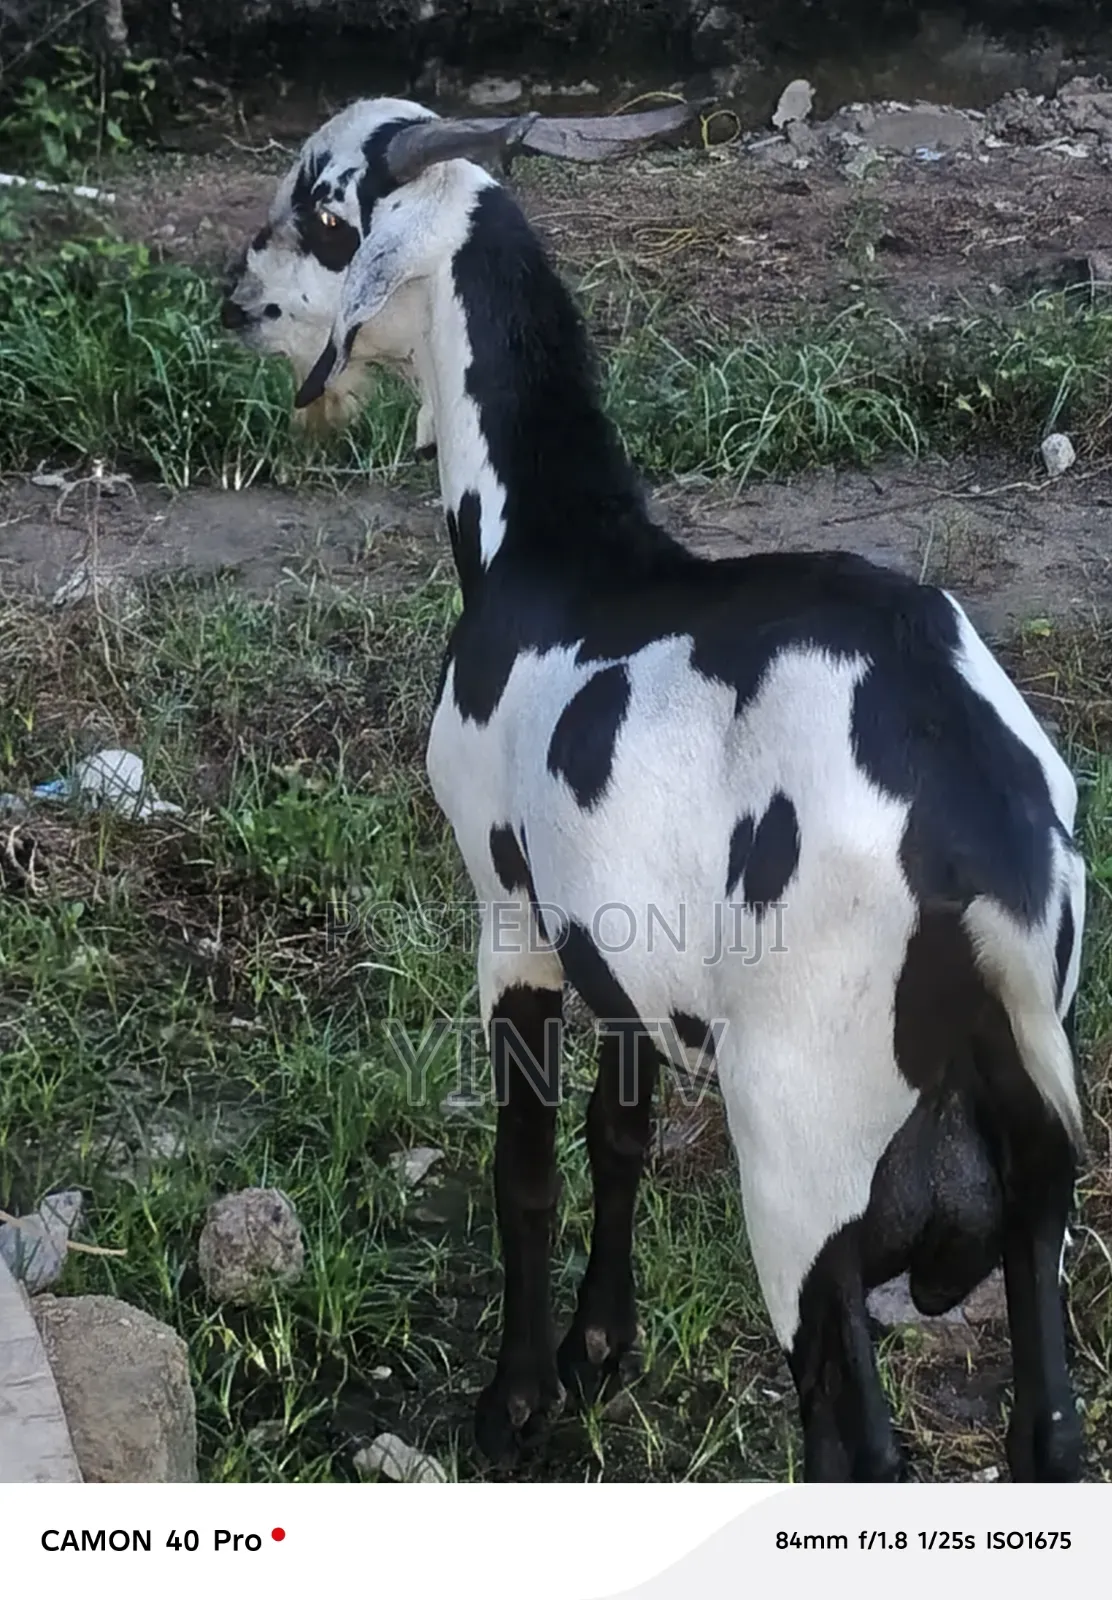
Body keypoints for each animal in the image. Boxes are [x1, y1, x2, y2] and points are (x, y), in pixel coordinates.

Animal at [223, 97, 1088, 1482]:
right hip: (1032, 1184)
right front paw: (598, 1348)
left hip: (802, 1165)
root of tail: (983, 863)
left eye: (323, 209)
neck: (552, 549)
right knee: (1047, 1428)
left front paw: (517, 1399)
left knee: (853, 1446)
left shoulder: (513, 918)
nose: (234, 300)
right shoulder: (620, 938)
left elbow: (525, 1164)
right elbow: (615, 1136)